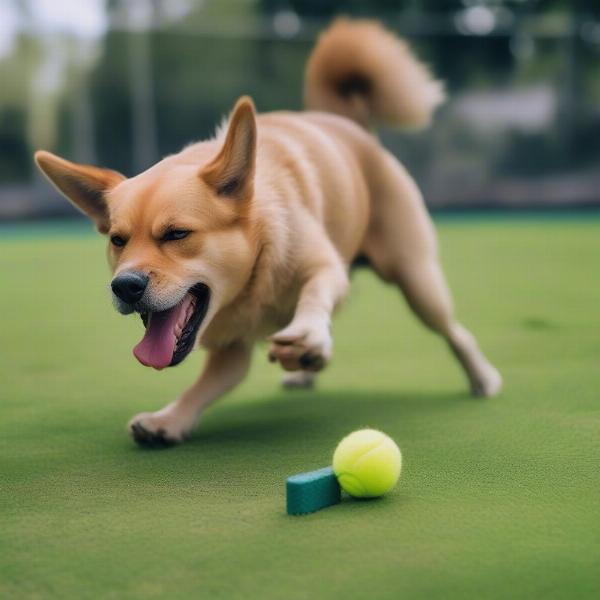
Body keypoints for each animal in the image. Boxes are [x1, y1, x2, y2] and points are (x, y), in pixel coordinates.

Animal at [32, 19, 502, 446]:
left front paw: (307, 333)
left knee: (455, 331)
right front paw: (171, 418)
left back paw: (482, 377)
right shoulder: (230, 350)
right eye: (117, 240)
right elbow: (202, 388)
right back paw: (309, 368)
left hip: (416, 279)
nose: (125, 286)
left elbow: (314, 298)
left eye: (177, 234)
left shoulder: (325, 268)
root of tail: (347, 123)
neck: (253, 278)